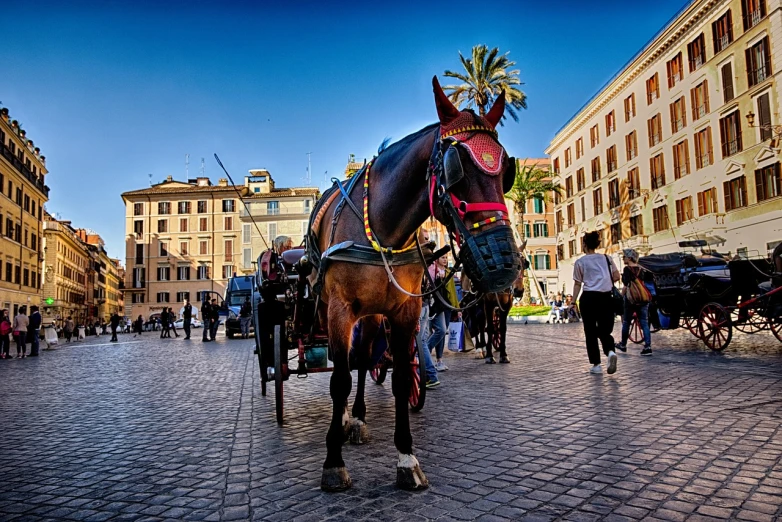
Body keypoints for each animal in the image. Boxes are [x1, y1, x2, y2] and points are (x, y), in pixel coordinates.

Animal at [304, 76, 520, 488]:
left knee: (362, 359)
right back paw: (344, 420)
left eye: (506, 172)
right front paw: (333, 462)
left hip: (373, 315)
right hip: (326, 309)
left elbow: (403, 378)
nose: (503, 265)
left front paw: (406, 457)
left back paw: (357, 417)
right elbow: (337, 380)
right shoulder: (340, 311)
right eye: (456, 168)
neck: (384, 227)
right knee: (343, 366)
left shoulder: (406, 310)